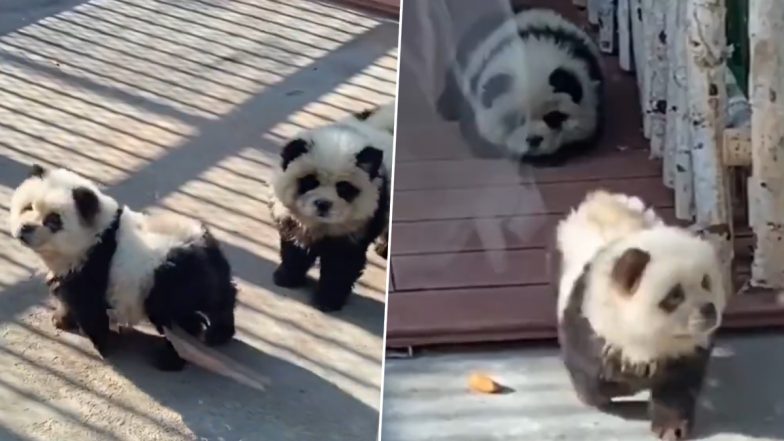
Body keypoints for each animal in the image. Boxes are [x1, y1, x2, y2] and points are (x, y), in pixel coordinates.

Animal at [8, 164, 236, 368]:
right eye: (27, 207)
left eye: (53, 220)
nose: (25, 228)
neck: (98, 234)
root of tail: (205, 248)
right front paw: (62, 319)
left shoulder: (92, 266)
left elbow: (88, 307)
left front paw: (105, 346)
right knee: (221, 299)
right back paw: (220, 333)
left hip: (167, 282)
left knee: (177, 320)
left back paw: (170, 359)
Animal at [268, 104, 392, 310]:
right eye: (310, 182)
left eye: (343, 188)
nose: (323, 204)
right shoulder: (295, 220)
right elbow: (295, 248)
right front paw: (286, 277)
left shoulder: (357, 226)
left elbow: (341, 264)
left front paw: (328, 300)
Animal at [556, 192, 724, 440]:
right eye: (674, 295)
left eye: (706, 282)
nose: (709, 310)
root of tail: (599, 197)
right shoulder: (588, 325)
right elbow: (591, 377)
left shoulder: (687, 351)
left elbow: (677, 386)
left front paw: (671, 427)